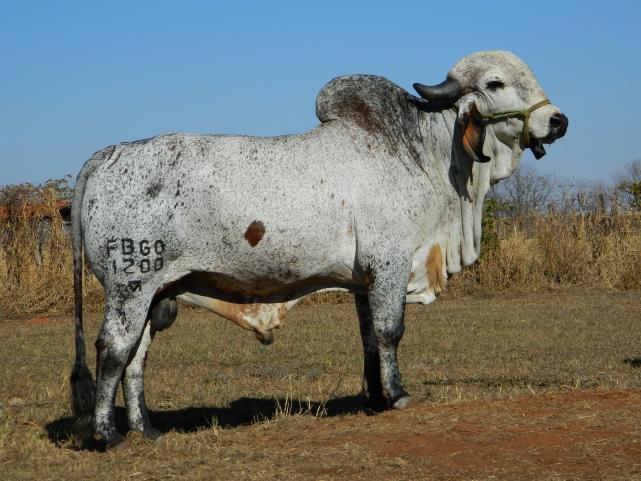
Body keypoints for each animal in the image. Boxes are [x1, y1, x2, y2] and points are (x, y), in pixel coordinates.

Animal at [72, 49, 568, 446]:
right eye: (495, 83)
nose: (557, 120)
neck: (418, 152)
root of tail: (108, 155)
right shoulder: (390, 265)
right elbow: (391, 332)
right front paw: (398, 395)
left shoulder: (364, 280)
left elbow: (369, 339)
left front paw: (375, 398)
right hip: (130, 286)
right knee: (112, 349)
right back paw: (107, 434)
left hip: (155, 293)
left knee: (137, 357)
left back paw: (146, 429)